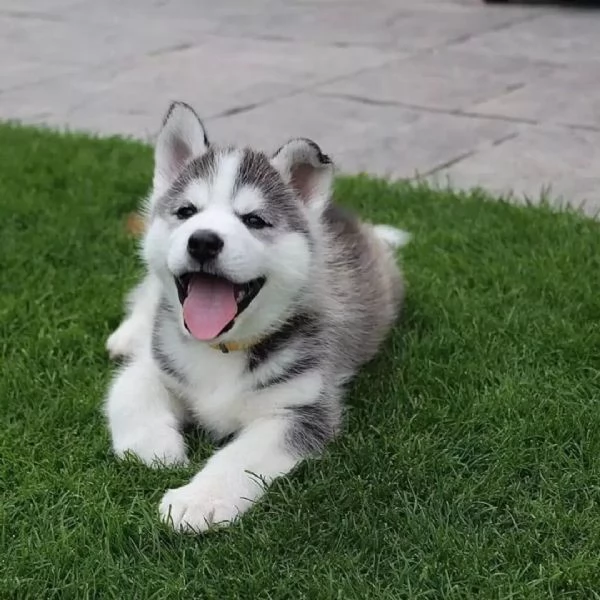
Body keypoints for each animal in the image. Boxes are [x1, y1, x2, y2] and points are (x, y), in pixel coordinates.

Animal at [106, 101, 408, 532]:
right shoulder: (157, 359)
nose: (203, 241)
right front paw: (156, 449)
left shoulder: (300, 409)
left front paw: (197, 500)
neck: (220, 349)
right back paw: (128, 333)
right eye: (186, 211)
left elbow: (240, 456)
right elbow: (128, 390)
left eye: (253, 220)